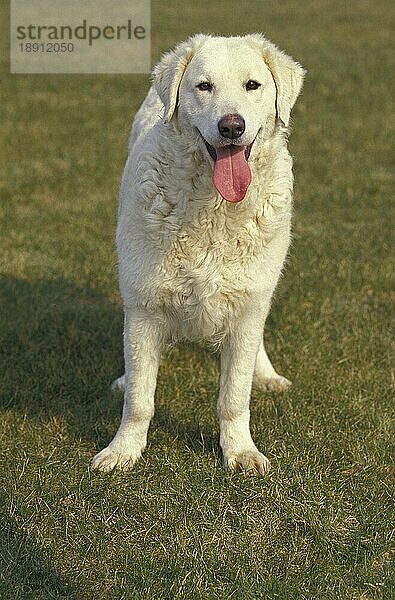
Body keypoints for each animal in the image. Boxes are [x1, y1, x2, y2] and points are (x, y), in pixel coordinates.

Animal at [93, 34, 306, 474]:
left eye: (252, 85)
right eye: (203, 86)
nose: (231, 125)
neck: (214, 206)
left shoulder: (246, 305)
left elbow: (234, 398)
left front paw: (240, 452)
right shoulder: (144, 308)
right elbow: (139, 398)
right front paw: (123, 451)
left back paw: (266, 374)